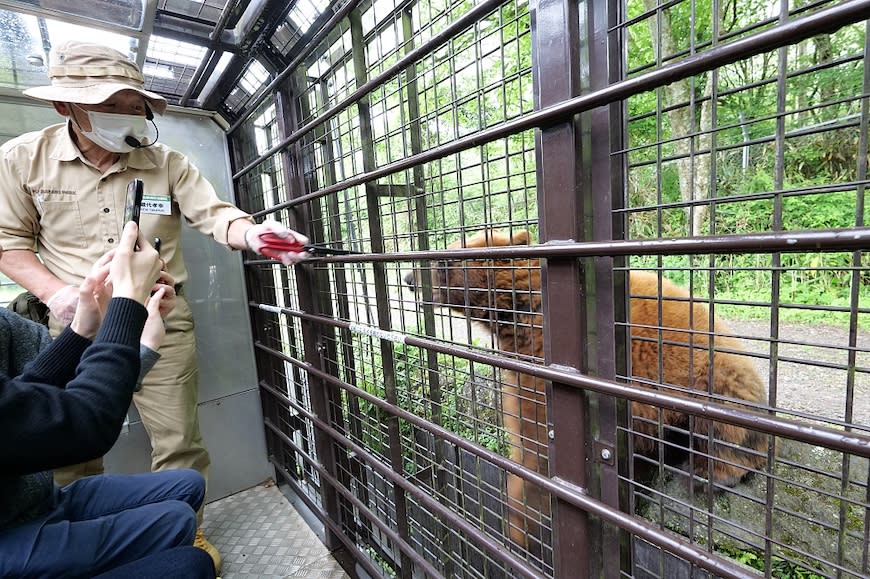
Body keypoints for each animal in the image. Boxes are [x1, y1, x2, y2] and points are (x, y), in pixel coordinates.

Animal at [406, 229, 768, 552]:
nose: (409, 278)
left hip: (709, 378)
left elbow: (536, 441)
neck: (520, 313)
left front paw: (521, 525)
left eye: (445, 259)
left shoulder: (541, 358)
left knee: (725, 430)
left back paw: (706, 474)